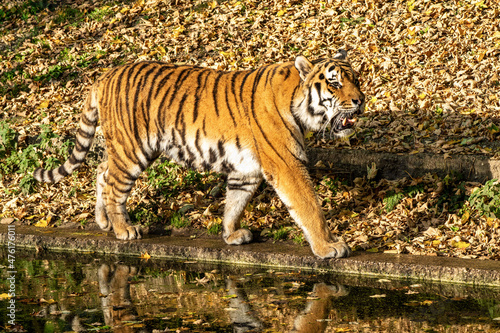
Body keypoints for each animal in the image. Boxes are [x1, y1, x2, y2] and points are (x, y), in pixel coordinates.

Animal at [34, 48, 364, 258]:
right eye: (335, 83)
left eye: (356, 79)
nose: (361, 100)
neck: (299, 105)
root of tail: (105, 74)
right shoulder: (286, 164)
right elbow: (309, 206)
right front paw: (328, 247)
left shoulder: (246, 169)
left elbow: (235, 202)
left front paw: (231, 235)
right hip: (132, 150)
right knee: (114, 184)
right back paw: (123, 229)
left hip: (125, 149)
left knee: (101, 172)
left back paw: (103, 222)